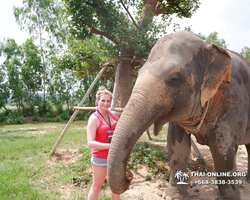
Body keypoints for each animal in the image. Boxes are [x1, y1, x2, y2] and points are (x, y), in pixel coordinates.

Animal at [108, 30, 250, 200]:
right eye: (139, 72)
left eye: (174, 79)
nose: (129, 176)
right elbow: (177, 146)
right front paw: (173, 196)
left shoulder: (234, 103)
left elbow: (223, 151)